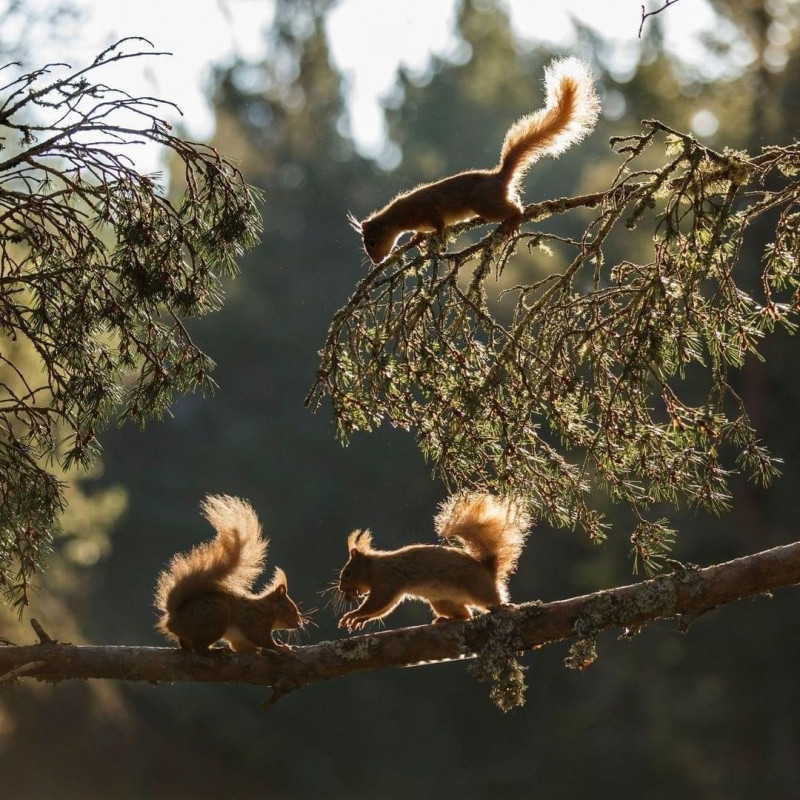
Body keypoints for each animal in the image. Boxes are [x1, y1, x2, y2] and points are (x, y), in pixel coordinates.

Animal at [155, 494, 308, 656]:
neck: (267, 609)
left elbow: (242, 646)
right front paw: (281, 647)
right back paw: (214, 651)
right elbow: (263, 639)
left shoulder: (240, 640)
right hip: (217, 616)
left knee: (185, 643)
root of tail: (174, 617)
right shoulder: (255, 621)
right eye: (289, 609)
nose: (300, 623)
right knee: (199, 647)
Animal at [338, 494, 532, 632]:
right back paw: (447, 619)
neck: (374, 567)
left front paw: (354, 615)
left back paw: (503, 605)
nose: (341, 589)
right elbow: (383, 609)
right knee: (466, 615)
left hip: (478, 587)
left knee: (491, 601)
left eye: (348, 572)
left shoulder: (387, 580)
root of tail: (489, 570)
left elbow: (378, 603)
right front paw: (360, 619)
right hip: (442, 601)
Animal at [350, 59, 600, 266]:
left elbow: (438, 223)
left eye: (372, 242)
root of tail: (499, 176)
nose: (376, 262)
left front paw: (437, 235)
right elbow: (421, 232)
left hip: (484, 202)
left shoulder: (427, 209)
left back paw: (515, 219)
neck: (400, 217)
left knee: (516, 208)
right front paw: (418, 239)